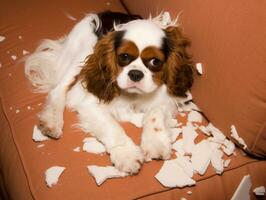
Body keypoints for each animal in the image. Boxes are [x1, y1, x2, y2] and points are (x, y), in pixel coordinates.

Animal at [24, 10, 193, 174]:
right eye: (124, 56)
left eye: (155, 61)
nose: (135, 74)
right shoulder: (90, 105)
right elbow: (112, 127)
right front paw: (127, 154)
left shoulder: (166, 99)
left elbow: (155, 114)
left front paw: (155, 142)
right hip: (82, 55)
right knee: (58, 89)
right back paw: (52, 121)